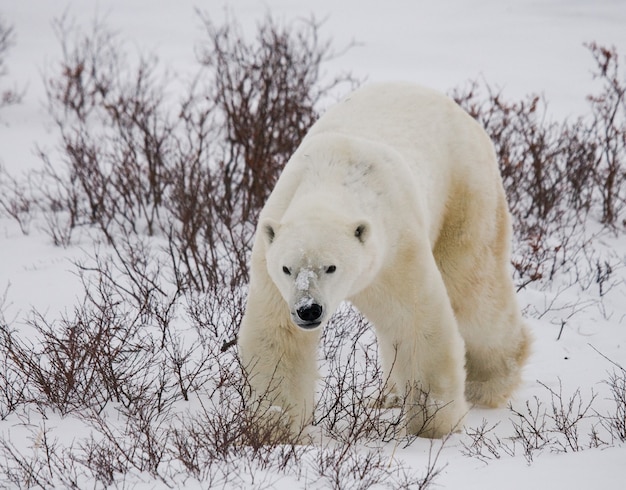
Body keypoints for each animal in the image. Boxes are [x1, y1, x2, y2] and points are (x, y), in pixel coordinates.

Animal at [236, 81, 528, 440]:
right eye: (287, 268)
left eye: (331, 266)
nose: (309, 310)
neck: (333, 172)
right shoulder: (271, 265)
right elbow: (279, 336)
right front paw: (274, 426)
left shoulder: (396, 248)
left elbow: (417, 323)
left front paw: (433, 424)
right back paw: (388, 395)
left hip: (466, 192)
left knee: (473, 291)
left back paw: (486, 382)